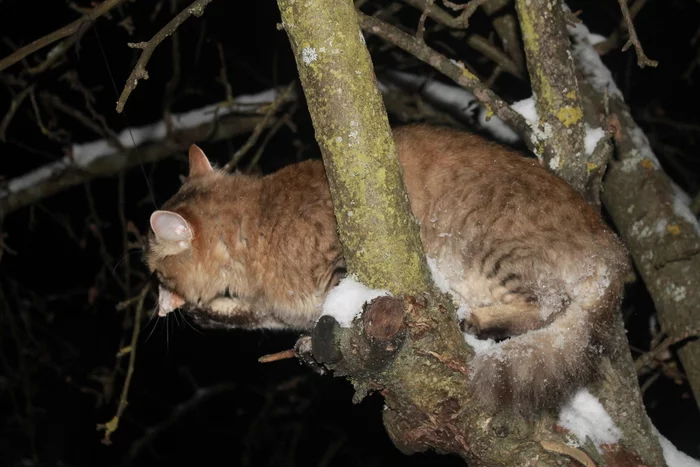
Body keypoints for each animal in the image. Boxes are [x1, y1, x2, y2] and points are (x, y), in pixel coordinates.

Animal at [144, 124, 628, 414]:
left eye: (156, 272)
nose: (157, 297)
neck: (256, 223)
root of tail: (614, 252)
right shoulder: (271, 307)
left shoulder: (337, 265)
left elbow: (332, 307)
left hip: (489, 246)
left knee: (549, 304)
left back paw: (474, 316)